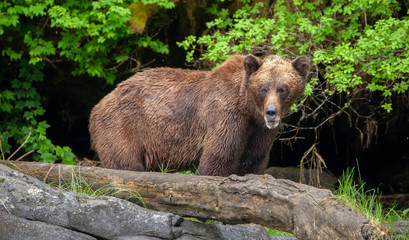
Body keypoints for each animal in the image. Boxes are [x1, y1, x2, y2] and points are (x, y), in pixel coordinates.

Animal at [87, 54, 308, 176]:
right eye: (263, 88)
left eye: (283, 89)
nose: (271, 113)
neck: (249, 108)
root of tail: (99, 103)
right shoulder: (226, 115)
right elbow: (219, 157)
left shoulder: (258, 130)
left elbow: (253, 159)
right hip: (123, 125)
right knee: (125, 163)